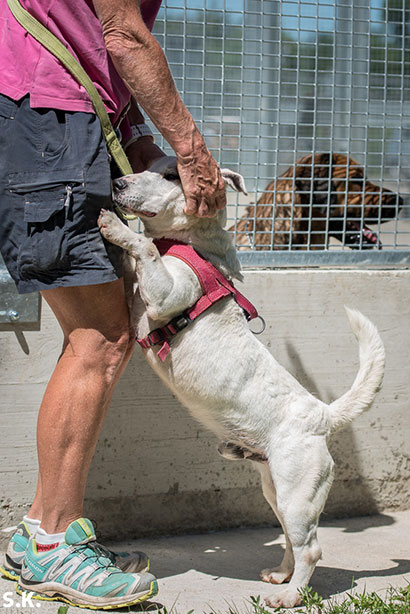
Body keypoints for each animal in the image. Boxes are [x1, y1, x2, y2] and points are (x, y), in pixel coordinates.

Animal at [98, 156, 385, 609]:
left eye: (170, 175)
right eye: (147, 166)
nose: (119, 181)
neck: (190, 244)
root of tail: (321, 414)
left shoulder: (169, 295)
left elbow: (144, 250)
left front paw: (116, 227)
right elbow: (135, 262)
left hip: (297, 492)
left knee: (311, 548)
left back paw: (291, 597)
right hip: (276, 491)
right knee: (291, 539)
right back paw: (281, 576)